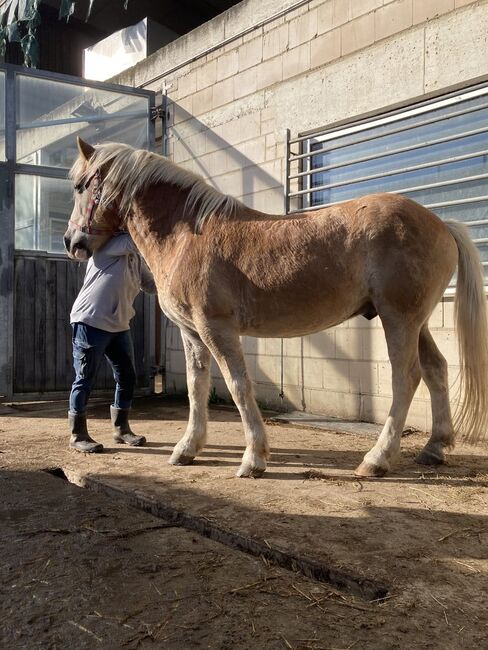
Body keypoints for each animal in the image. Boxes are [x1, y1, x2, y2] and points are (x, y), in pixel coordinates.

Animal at [63, 138, 488, 476]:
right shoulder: (192, 333)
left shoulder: (216, 328)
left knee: (407, 378)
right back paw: (434, 449)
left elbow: (237, 386)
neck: (186, 234)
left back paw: (377, 459)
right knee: (436, 370)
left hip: (398, 318)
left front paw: (254, 458)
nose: (71, 242)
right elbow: (198, 389)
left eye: (81, 186)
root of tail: (442, 224)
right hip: (417, 322)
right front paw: (188, 448)